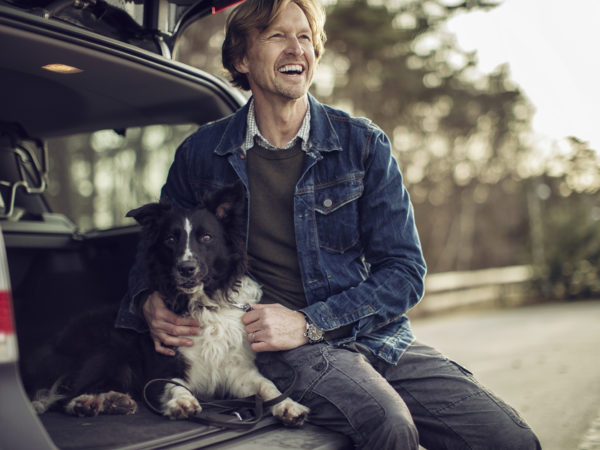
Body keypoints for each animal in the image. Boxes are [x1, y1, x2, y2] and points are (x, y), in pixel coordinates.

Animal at [28, 182, 310, 426]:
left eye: (206, 237)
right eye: (170, 239)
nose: (186, 268)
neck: (204, 304)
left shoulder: (236, 370)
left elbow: (268, 386)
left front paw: (289, 405)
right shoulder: (162, 367)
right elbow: (174, 385)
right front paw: (183, 402)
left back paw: (114, 401)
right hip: (109, 347)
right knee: (64, 395)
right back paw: (87, 403)